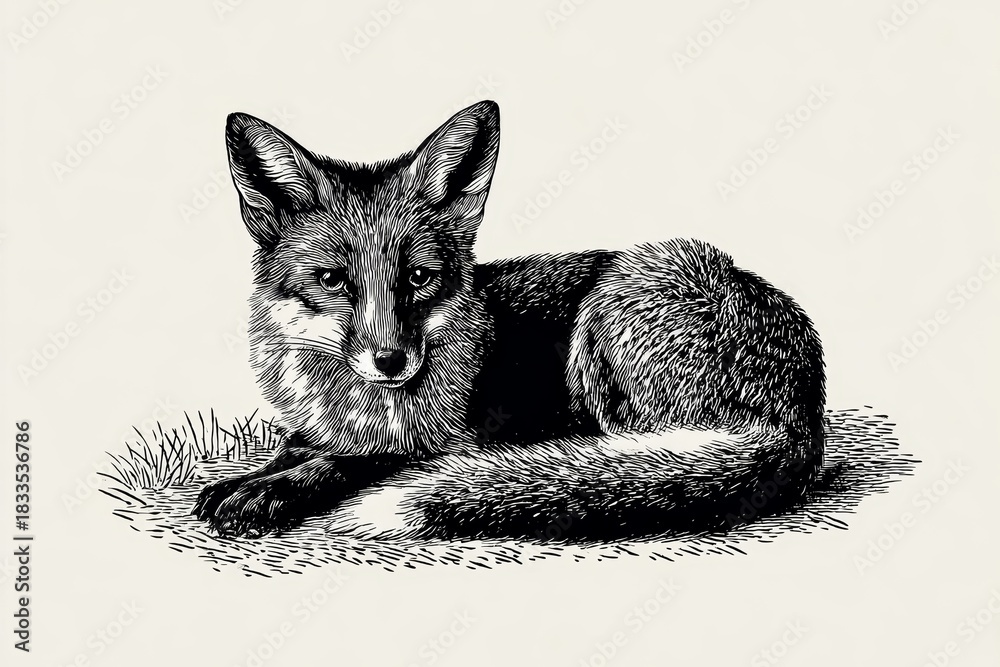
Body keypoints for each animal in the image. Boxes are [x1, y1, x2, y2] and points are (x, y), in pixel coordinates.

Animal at [193, 100, 826, 541]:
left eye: (418, 278)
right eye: (332, 280)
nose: (391, 361)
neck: (353, 405)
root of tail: (801, 415)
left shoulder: (442, 445)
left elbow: (339, 465)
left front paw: (266, 493)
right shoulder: (313, 428)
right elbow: (293, 451)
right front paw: (244, 480)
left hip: (609, 311)